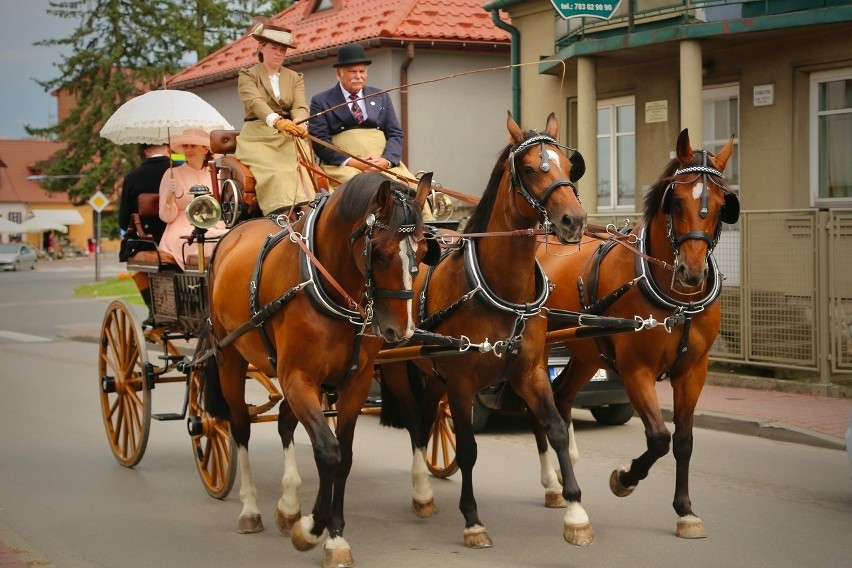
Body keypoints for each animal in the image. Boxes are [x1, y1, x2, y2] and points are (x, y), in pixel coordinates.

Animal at [200, 173, 432, 568]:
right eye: (380, 253)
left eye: (422, 250)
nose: (401, 331)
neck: (330, 290)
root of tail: (233, 233)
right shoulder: (298, 377)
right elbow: (328, 451)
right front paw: (311, 530)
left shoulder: (355, 382)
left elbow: (345, 456)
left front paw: (334, 536)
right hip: (229, 358)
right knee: (240, 426)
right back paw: (250, 509)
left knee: (283, 422)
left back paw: (288, 504)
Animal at [380, 112, 592, 552]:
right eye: (529, 169)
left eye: (568, 166)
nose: (574, 220)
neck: (500, 288)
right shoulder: (462, 382)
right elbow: (468, 448)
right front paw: (473, 521)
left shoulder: (529, 371)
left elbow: (556, 430)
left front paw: (575, 511)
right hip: (395, 368)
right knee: (412, 421)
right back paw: (421, 490)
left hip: (434, 375)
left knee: (425, 417)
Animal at [532, 129, 740, 540]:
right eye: (676, 201)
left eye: (722, 204)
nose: (692, 272)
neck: (677, 302)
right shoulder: (635, 370)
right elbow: (658, 437)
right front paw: (624, 479)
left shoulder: (693, 371)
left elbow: (684, 441)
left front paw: (685, 510)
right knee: (539, 410)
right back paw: (552, 484)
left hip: (585, 352)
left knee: (561, 398)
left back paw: (563, 484)